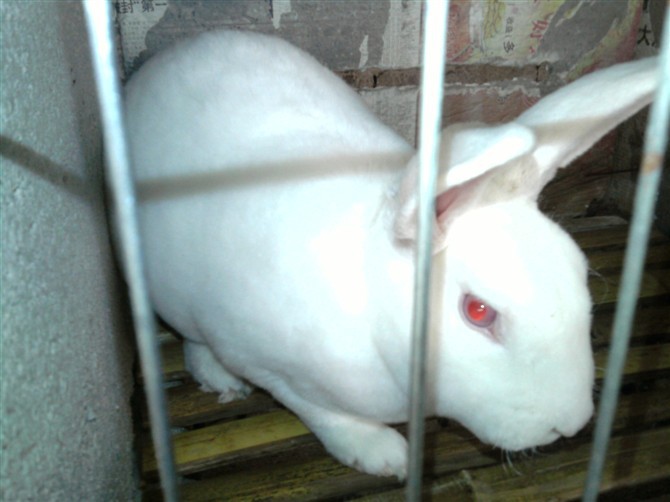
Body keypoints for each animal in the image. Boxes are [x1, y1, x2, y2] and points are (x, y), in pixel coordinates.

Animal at [124, 29, 659, 478]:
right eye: (478, 311)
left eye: (579, 274)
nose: (570, 424)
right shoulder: (269, 367)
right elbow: (320, 411)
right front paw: (385, 456)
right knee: (193, 339)